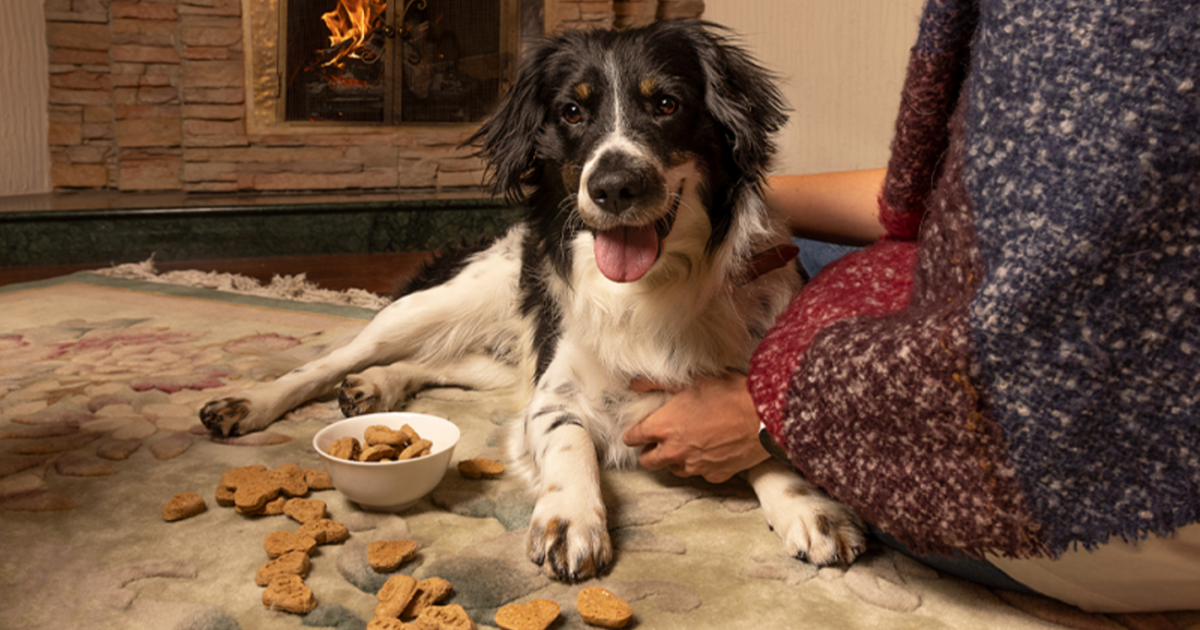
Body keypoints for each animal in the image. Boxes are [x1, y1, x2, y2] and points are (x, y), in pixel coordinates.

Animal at [201, 19, 868, 580]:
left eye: (667, 104)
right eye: (571, 111)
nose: (614, 186)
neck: (648, 289)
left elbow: (763, 444)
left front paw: (810, 506)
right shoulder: (552, 395)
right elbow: (571, 443)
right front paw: (571, 517)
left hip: (501, 358)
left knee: (436, 363)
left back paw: (378, 385)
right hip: (432, 307)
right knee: (330, 361)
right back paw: (253, 402)